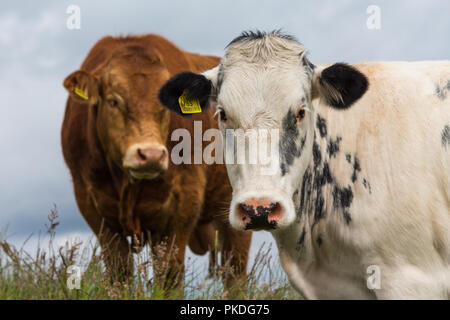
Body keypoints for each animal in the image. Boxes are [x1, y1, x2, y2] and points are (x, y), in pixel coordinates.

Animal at [61, 34, 251, 288]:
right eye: (113, 101)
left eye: (165, 105)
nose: (150, 155)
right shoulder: (92, 206)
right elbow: (119, 273)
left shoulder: (183, 204)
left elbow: (169, 276)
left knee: (235, 273)